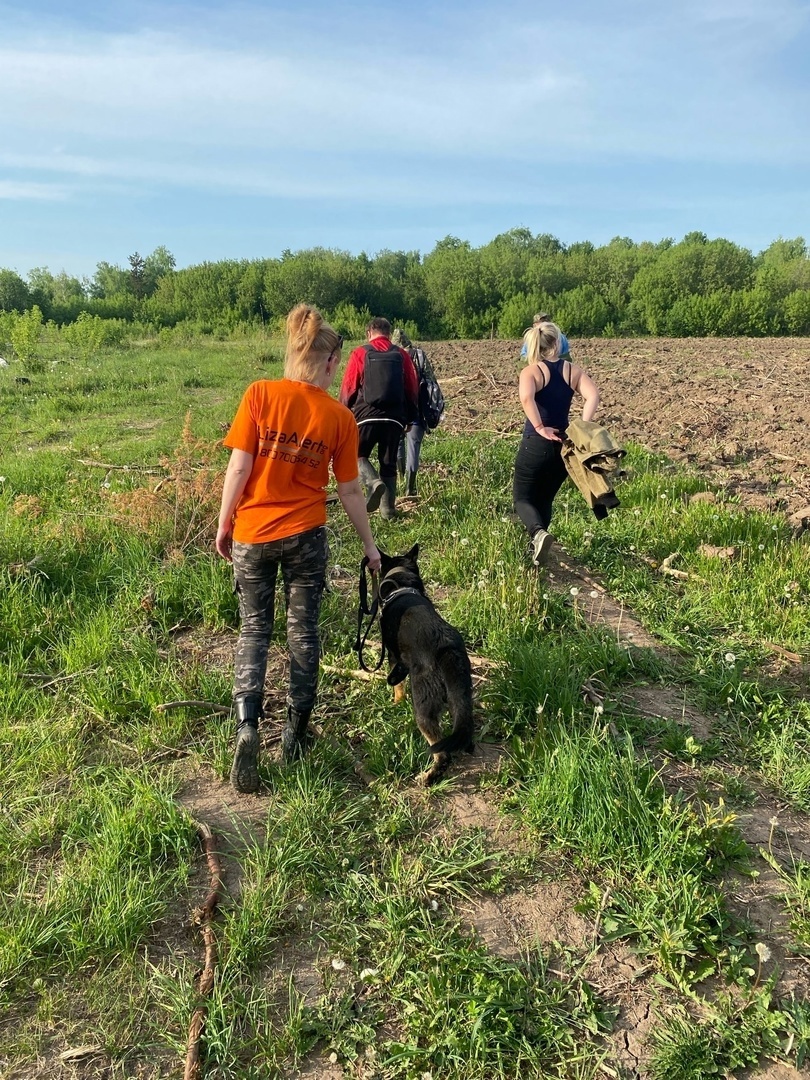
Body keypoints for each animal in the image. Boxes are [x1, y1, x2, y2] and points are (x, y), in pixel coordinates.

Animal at [375, 544, 473, 781]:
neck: (402, 586)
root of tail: (445, 648)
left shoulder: (393, 655)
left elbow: (398, 686)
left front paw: (396, 702)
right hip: (460, 697)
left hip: (424, 708)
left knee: (442, 753)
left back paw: (429, 777)